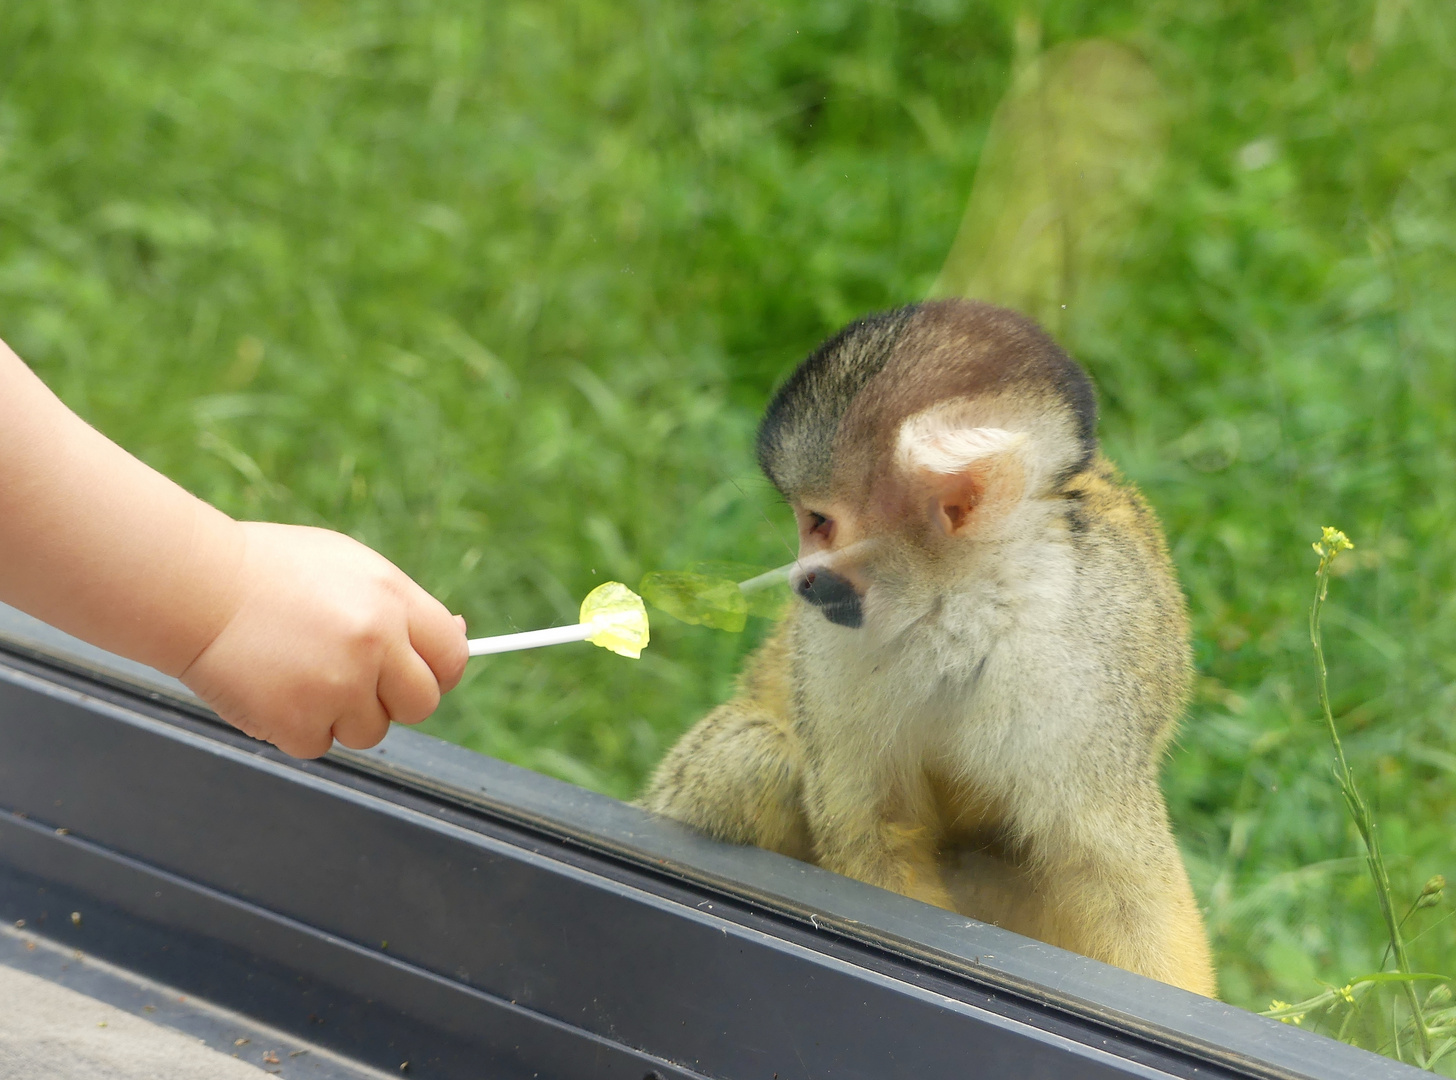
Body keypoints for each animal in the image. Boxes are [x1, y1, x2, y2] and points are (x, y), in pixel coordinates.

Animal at [640, 298, 1217, 995]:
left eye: (818, 522)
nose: (800, 580)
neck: (964, 606)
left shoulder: (1086, 656)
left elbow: (1113, 873)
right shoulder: (834, 642)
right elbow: (876, 832)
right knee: (757, 757)